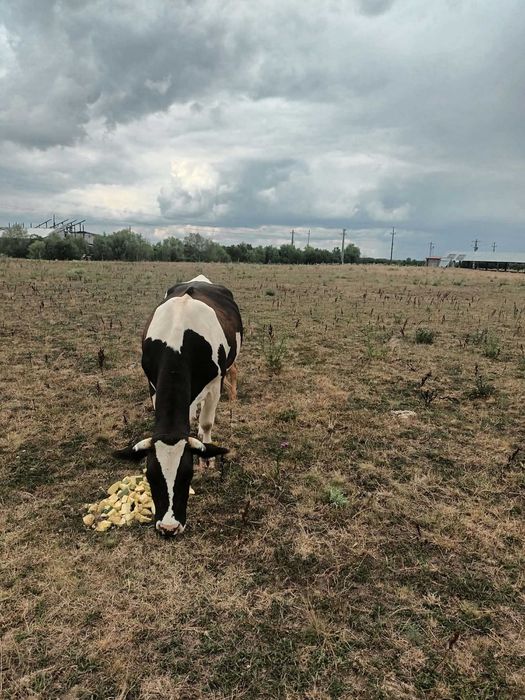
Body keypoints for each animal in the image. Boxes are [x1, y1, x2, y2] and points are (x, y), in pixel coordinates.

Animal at [113, 274, 242, 536]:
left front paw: (207, 458)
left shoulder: (215, 382)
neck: (177, 340)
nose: (169, 527)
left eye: (187, 475)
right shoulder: (152, 383)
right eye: (151, 477)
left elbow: (207, 422)